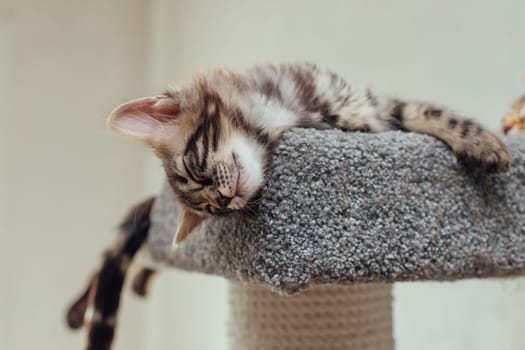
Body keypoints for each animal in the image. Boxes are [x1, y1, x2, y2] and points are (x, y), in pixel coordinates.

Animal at [66, 63, 512, 350]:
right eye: (213, 209)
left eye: (195, 170)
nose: (224, 199)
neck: (288, 112)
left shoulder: (371, 106)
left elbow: (428, 112)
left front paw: (484, 144)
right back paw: (82, 309)